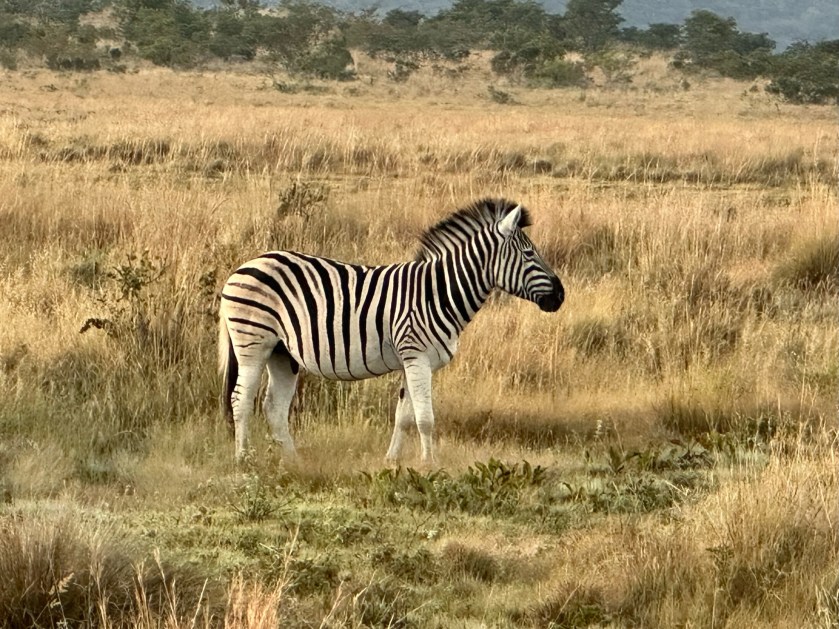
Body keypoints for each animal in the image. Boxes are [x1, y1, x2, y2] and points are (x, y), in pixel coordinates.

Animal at [218, 198, 564, 464]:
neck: (438, 292)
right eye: (529, 253)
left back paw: (294, 462)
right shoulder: (416, 356)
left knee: (273, 407)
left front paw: (393, 461)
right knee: (241, 399)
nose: (561, 296)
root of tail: (242, 267)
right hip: (253, 342)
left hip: (282, 353)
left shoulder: (415, 361)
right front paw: (430, 464)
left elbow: (405, 417)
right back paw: (243, 460)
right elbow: (425, 419)